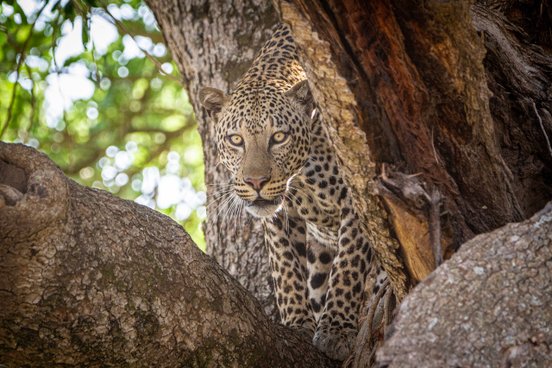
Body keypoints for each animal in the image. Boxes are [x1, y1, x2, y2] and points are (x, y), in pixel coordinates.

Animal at [199, 23, 388, 362]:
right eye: (236, 139)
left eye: (279, 137)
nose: (256, 182)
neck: (302, 175)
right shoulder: (278, 217)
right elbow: (285, 266)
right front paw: (297, 323)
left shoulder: (359, 199)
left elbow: (348, 266)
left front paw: (336, 330)